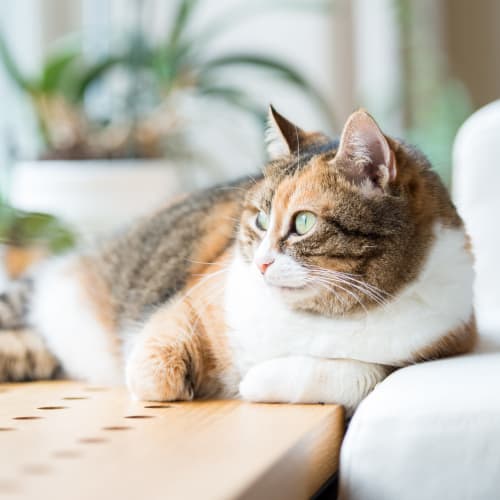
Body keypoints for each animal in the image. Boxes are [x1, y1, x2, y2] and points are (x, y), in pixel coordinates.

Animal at [0, 107, 476, 412]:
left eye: (303, 222)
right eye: (261, 218)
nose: (262, 263)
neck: (317, 317)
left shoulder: (441, 341)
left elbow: (363, 375)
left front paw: (254, 381)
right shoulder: (191, 300)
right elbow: (155, 370)